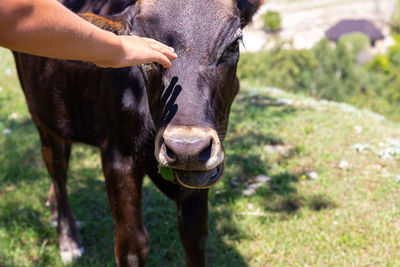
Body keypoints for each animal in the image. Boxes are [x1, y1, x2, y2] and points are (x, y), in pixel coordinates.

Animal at [11, 0, 260, 266]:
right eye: (147, 53)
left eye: (233, 44)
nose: (187, 149)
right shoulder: (117, 156)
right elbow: (132, 246)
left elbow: (195, 236)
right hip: (39, 113)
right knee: (57, 168)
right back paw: (68, 239)